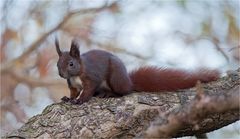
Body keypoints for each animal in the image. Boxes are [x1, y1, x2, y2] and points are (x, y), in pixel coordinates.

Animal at [54, 38, 219, 104]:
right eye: (57, 64)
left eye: (71, 64)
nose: (61, 74)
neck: (76, 75)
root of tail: (129, 82)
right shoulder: (72, 84)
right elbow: (74, 92)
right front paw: (68, 99)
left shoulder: (91, 77)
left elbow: (87, 90)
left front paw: (80, 100)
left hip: (116, 79)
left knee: (125, 92)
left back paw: (110, 94)